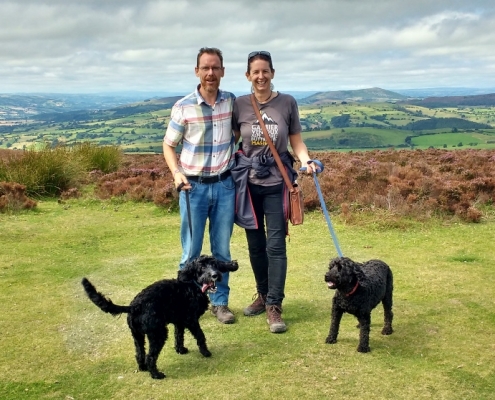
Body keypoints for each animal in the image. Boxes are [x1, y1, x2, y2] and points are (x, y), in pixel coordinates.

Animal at [82, 255, 240, 380]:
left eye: (214, 264)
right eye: (201, 267)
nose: (214, 275)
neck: (191, 286)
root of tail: (134, 306)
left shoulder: (179, 321)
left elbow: (179, 336)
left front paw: (180, 350)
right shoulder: (191, 320)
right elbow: (200, 336)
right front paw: (205, 352)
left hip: (137, 336)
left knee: (139, 353)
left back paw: (143, 368)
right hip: (158, 334)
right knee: (150, 356)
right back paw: (156, 374)